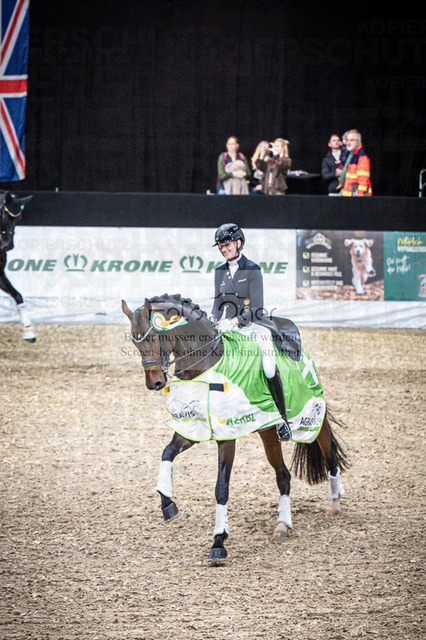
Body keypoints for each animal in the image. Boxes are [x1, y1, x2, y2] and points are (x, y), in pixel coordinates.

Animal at [122, 293, 348, 562]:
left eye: (154, 337)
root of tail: (303, 355)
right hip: (267, 432)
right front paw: (167, 504)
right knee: (283, 475)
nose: (154, 383)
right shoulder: (194, 428)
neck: (208, 365)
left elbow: (221, 488)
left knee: (329, 453)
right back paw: (282, 524)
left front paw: (219, 541)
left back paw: (335, 504)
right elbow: (166, 453)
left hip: (313, 419)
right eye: (134, 341)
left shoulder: (227, 437)